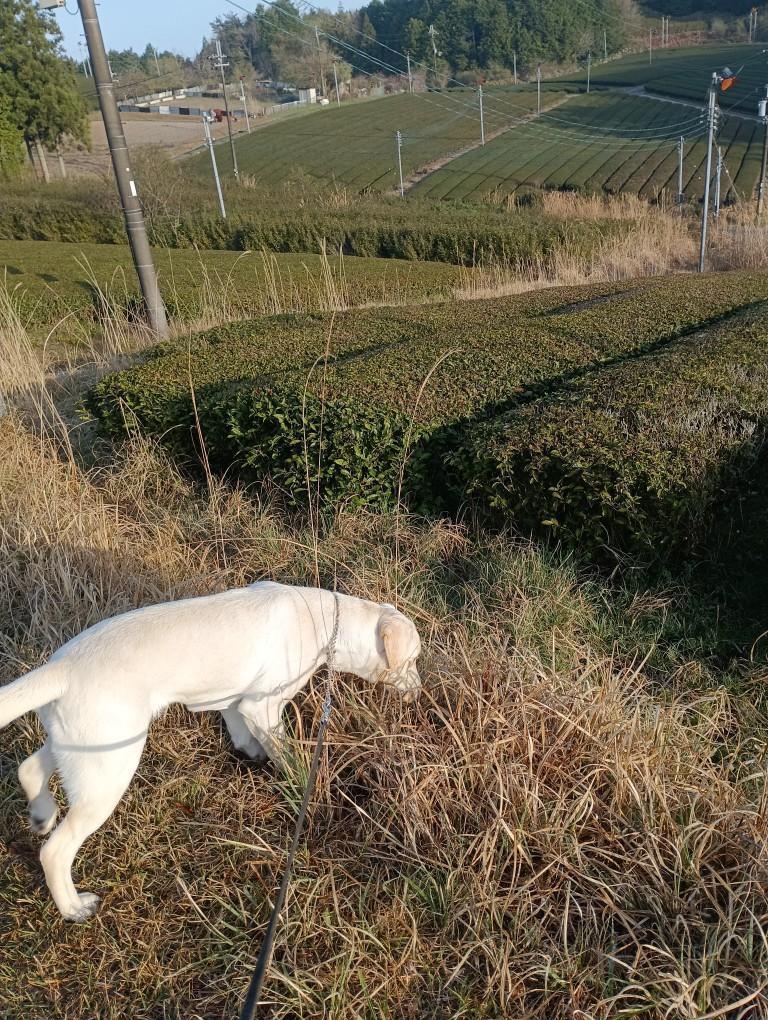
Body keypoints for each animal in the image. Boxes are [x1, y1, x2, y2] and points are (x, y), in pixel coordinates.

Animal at [0, 582, 421, 921]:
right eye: (415, 659)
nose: (420, 692)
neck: (325, 621)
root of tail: (61, 669)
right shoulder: (263, 706)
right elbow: (286, 755)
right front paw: (300, 787)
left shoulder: (236, 702)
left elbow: (240, 731)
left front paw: (251, 754)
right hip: (109, 769)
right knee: (55, 852)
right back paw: (73, 908)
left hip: (84, 747)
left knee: (29, 769)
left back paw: (42, 815)